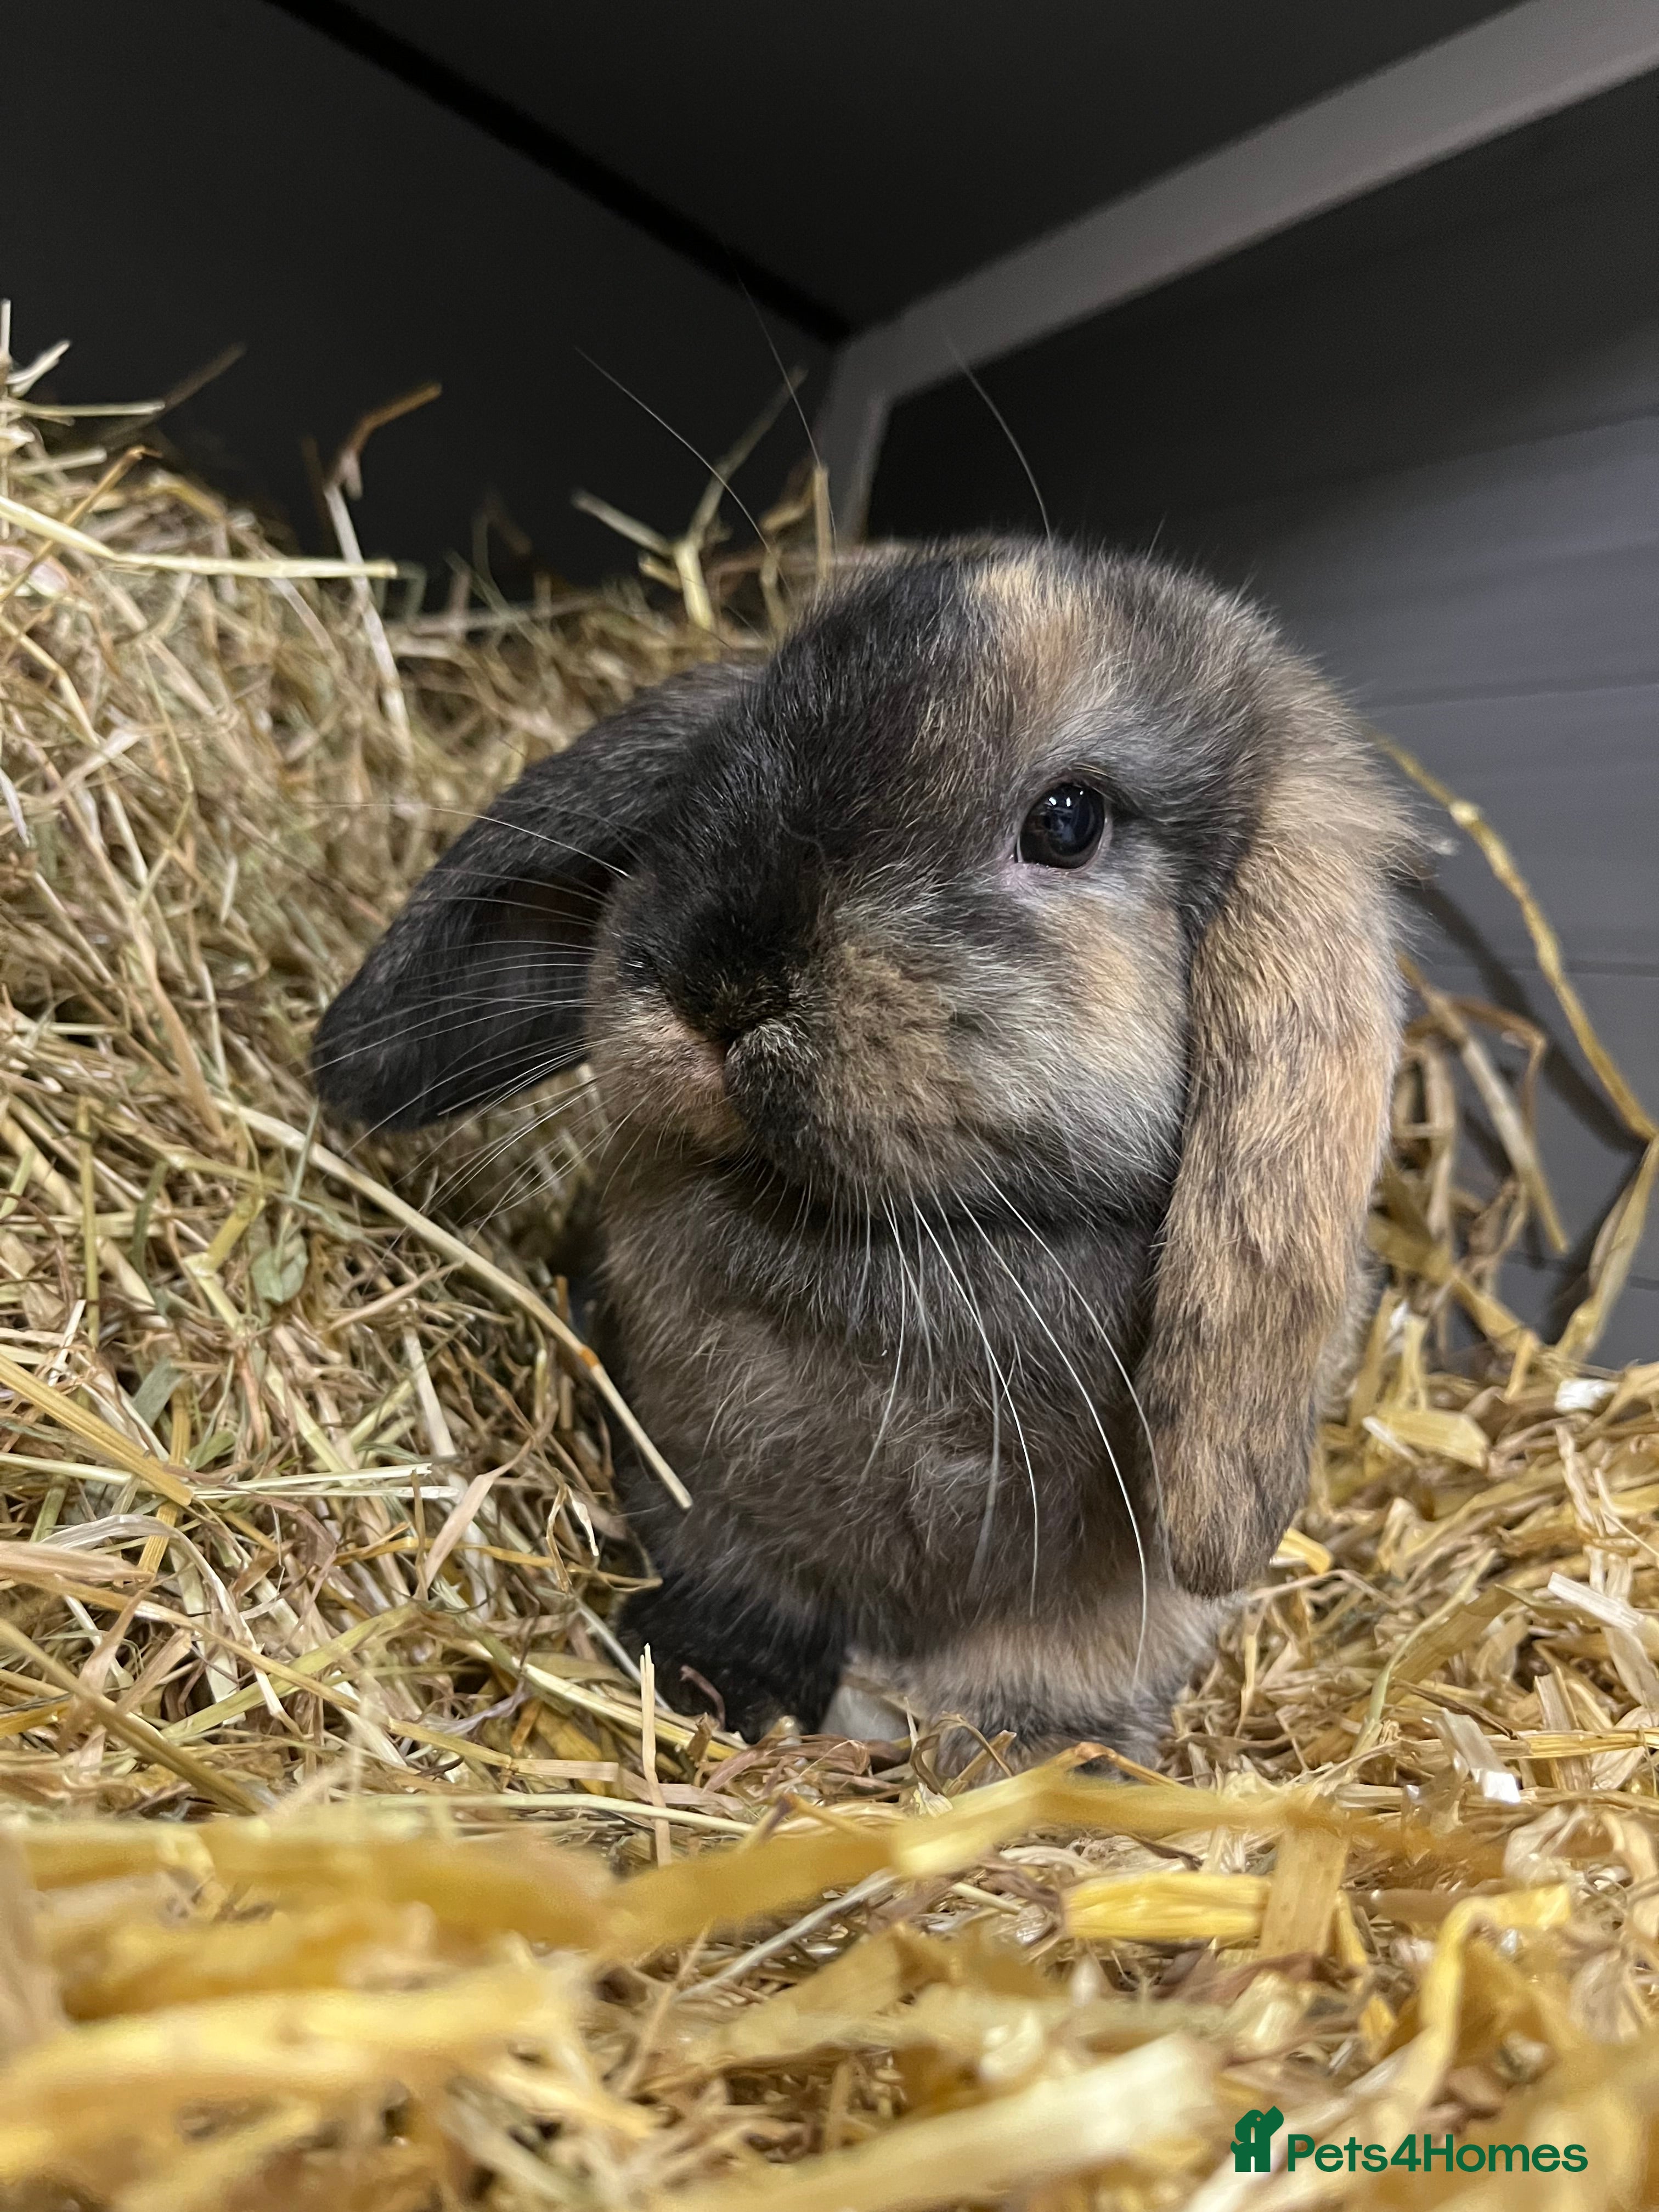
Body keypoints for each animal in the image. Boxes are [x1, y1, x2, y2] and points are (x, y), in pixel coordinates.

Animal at [312, 540, 1413, 1767]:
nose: (723, 984)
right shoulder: (707, 1507)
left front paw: (1037, 1757)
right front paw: (707, 1678)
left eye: (1068, 821)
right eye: (737, 744)